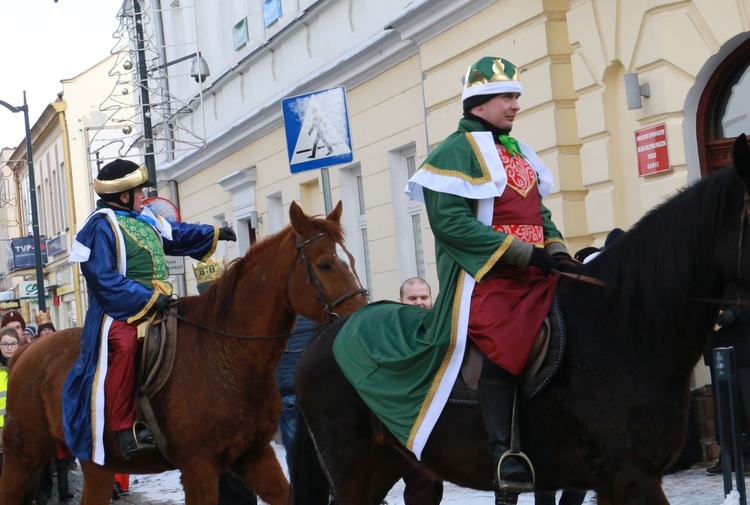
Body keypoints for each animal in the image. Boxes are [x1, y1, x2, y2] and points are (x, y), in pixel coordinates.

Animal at [0, 201, 370, 504]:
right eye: (324, 264)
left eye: (351, 259)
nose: (359, 316)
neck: (227, 352)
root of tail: (24, 354)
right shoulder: (199, 466)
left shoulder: (253, 454)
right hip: (23, 454)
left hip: (97, 463)